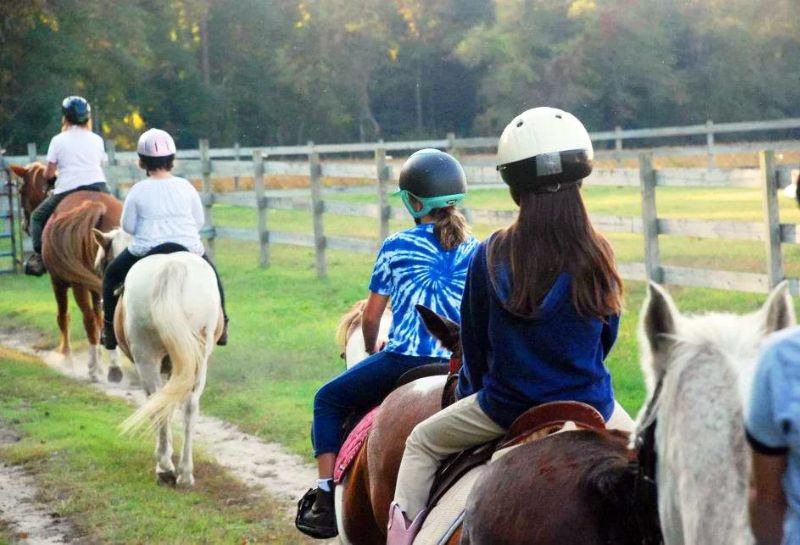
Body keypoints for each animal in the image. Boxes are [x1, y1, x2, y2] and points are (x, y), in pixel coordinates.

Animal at [41, 191, 122, 382]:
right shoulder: (97, 287)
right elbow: (101, 318)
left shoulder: (58, 282)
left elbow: (63, 317)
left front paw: (66, 357)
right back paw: (113, 367)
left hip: (78, 285)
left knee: (88, 319)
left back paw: (93, 369)